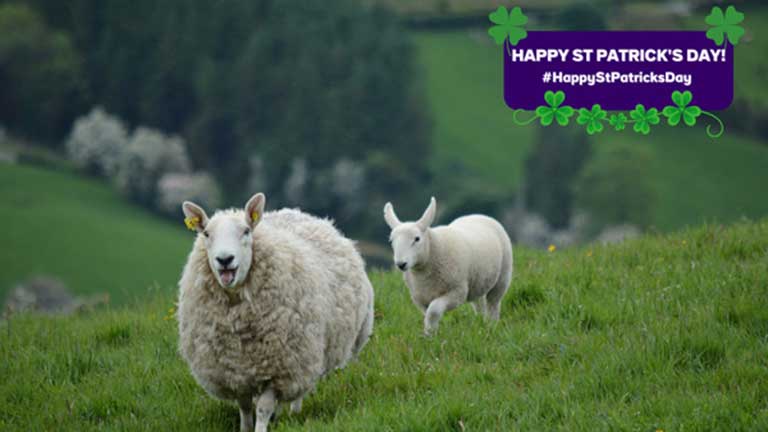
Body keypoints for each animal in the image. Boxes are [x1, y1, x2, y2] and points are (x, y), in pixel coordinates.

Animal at [178, 193, 376, 432]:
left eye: (246, 231)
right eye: (206, 233)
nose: (225, 260)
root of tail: (299, 213)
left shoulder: (279, 367)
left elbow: (263, 408)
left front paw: (261, 427)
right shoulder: (235, 371)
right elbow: (245, 407)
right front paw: (246, 428)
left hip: (308, 352)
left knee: (301, 387)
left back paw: (294, 412)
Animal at [382, 197, 512, 336]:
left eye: (417, 239)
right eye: (391, 241)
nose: (401, 264)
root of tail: (478, 215)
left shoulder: (457, 292)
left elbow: (433, 311)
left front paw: (430, 334)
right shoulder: (420, 298)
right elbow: (428, 315)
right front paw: (430, 334)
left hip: (503, 276)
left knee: (493, 303)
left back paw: (491, 325)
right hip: (478, 280)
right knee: (479, 302)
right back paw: (481, 323)